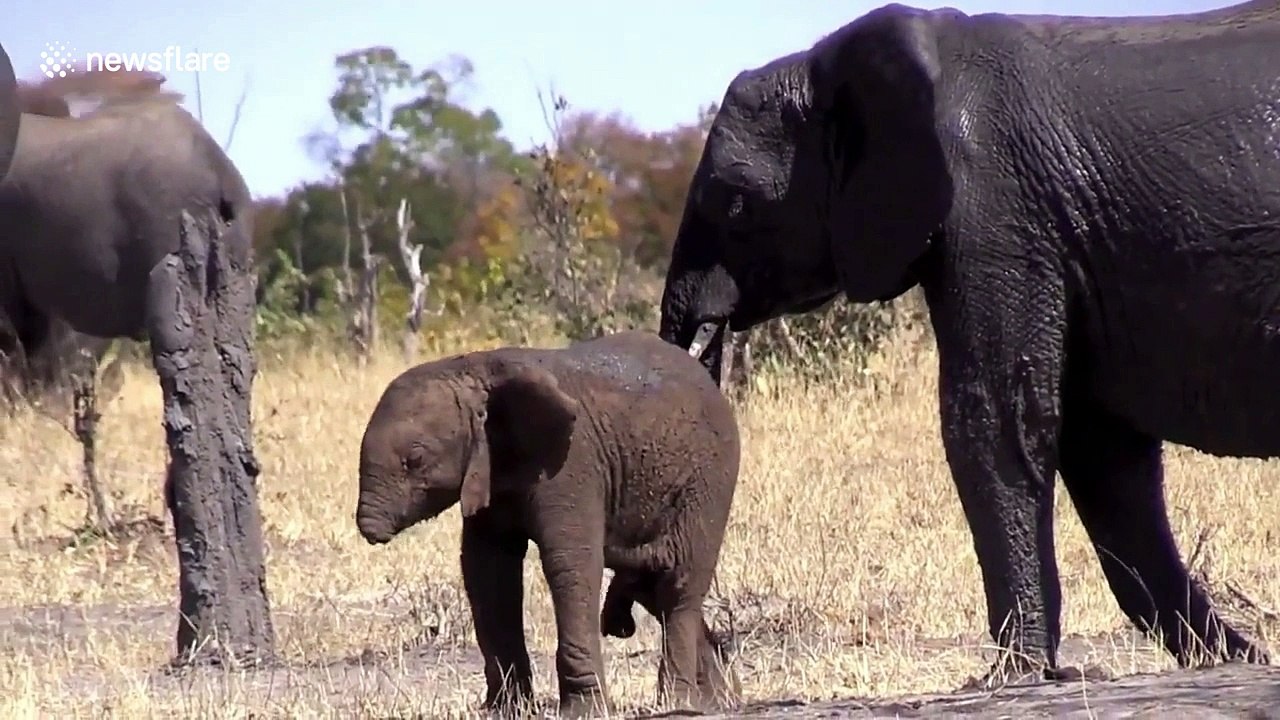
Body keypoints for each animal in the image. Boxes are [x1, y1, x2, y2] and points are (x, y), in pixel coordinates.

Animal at [354, 330, 741, 717]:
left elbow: (569, 562)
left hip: (710, 481)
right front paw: (504, 709)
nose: (369, 529)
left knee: (678, 587)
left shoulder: (571, 464)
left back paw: (679, 701)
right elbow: (487, 572)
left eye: (415, 460)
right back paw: (717, 700)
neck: (475, 369)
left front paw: (584, 711)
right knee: (650, 587)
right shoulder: (493, 472)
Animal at [658, 0, 1280, 687]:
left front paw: (1012, 675)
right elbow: (1102, 451)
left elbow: (994, 421)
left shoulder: (996, 216)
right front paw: (1233, 660)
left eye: (734, 205)